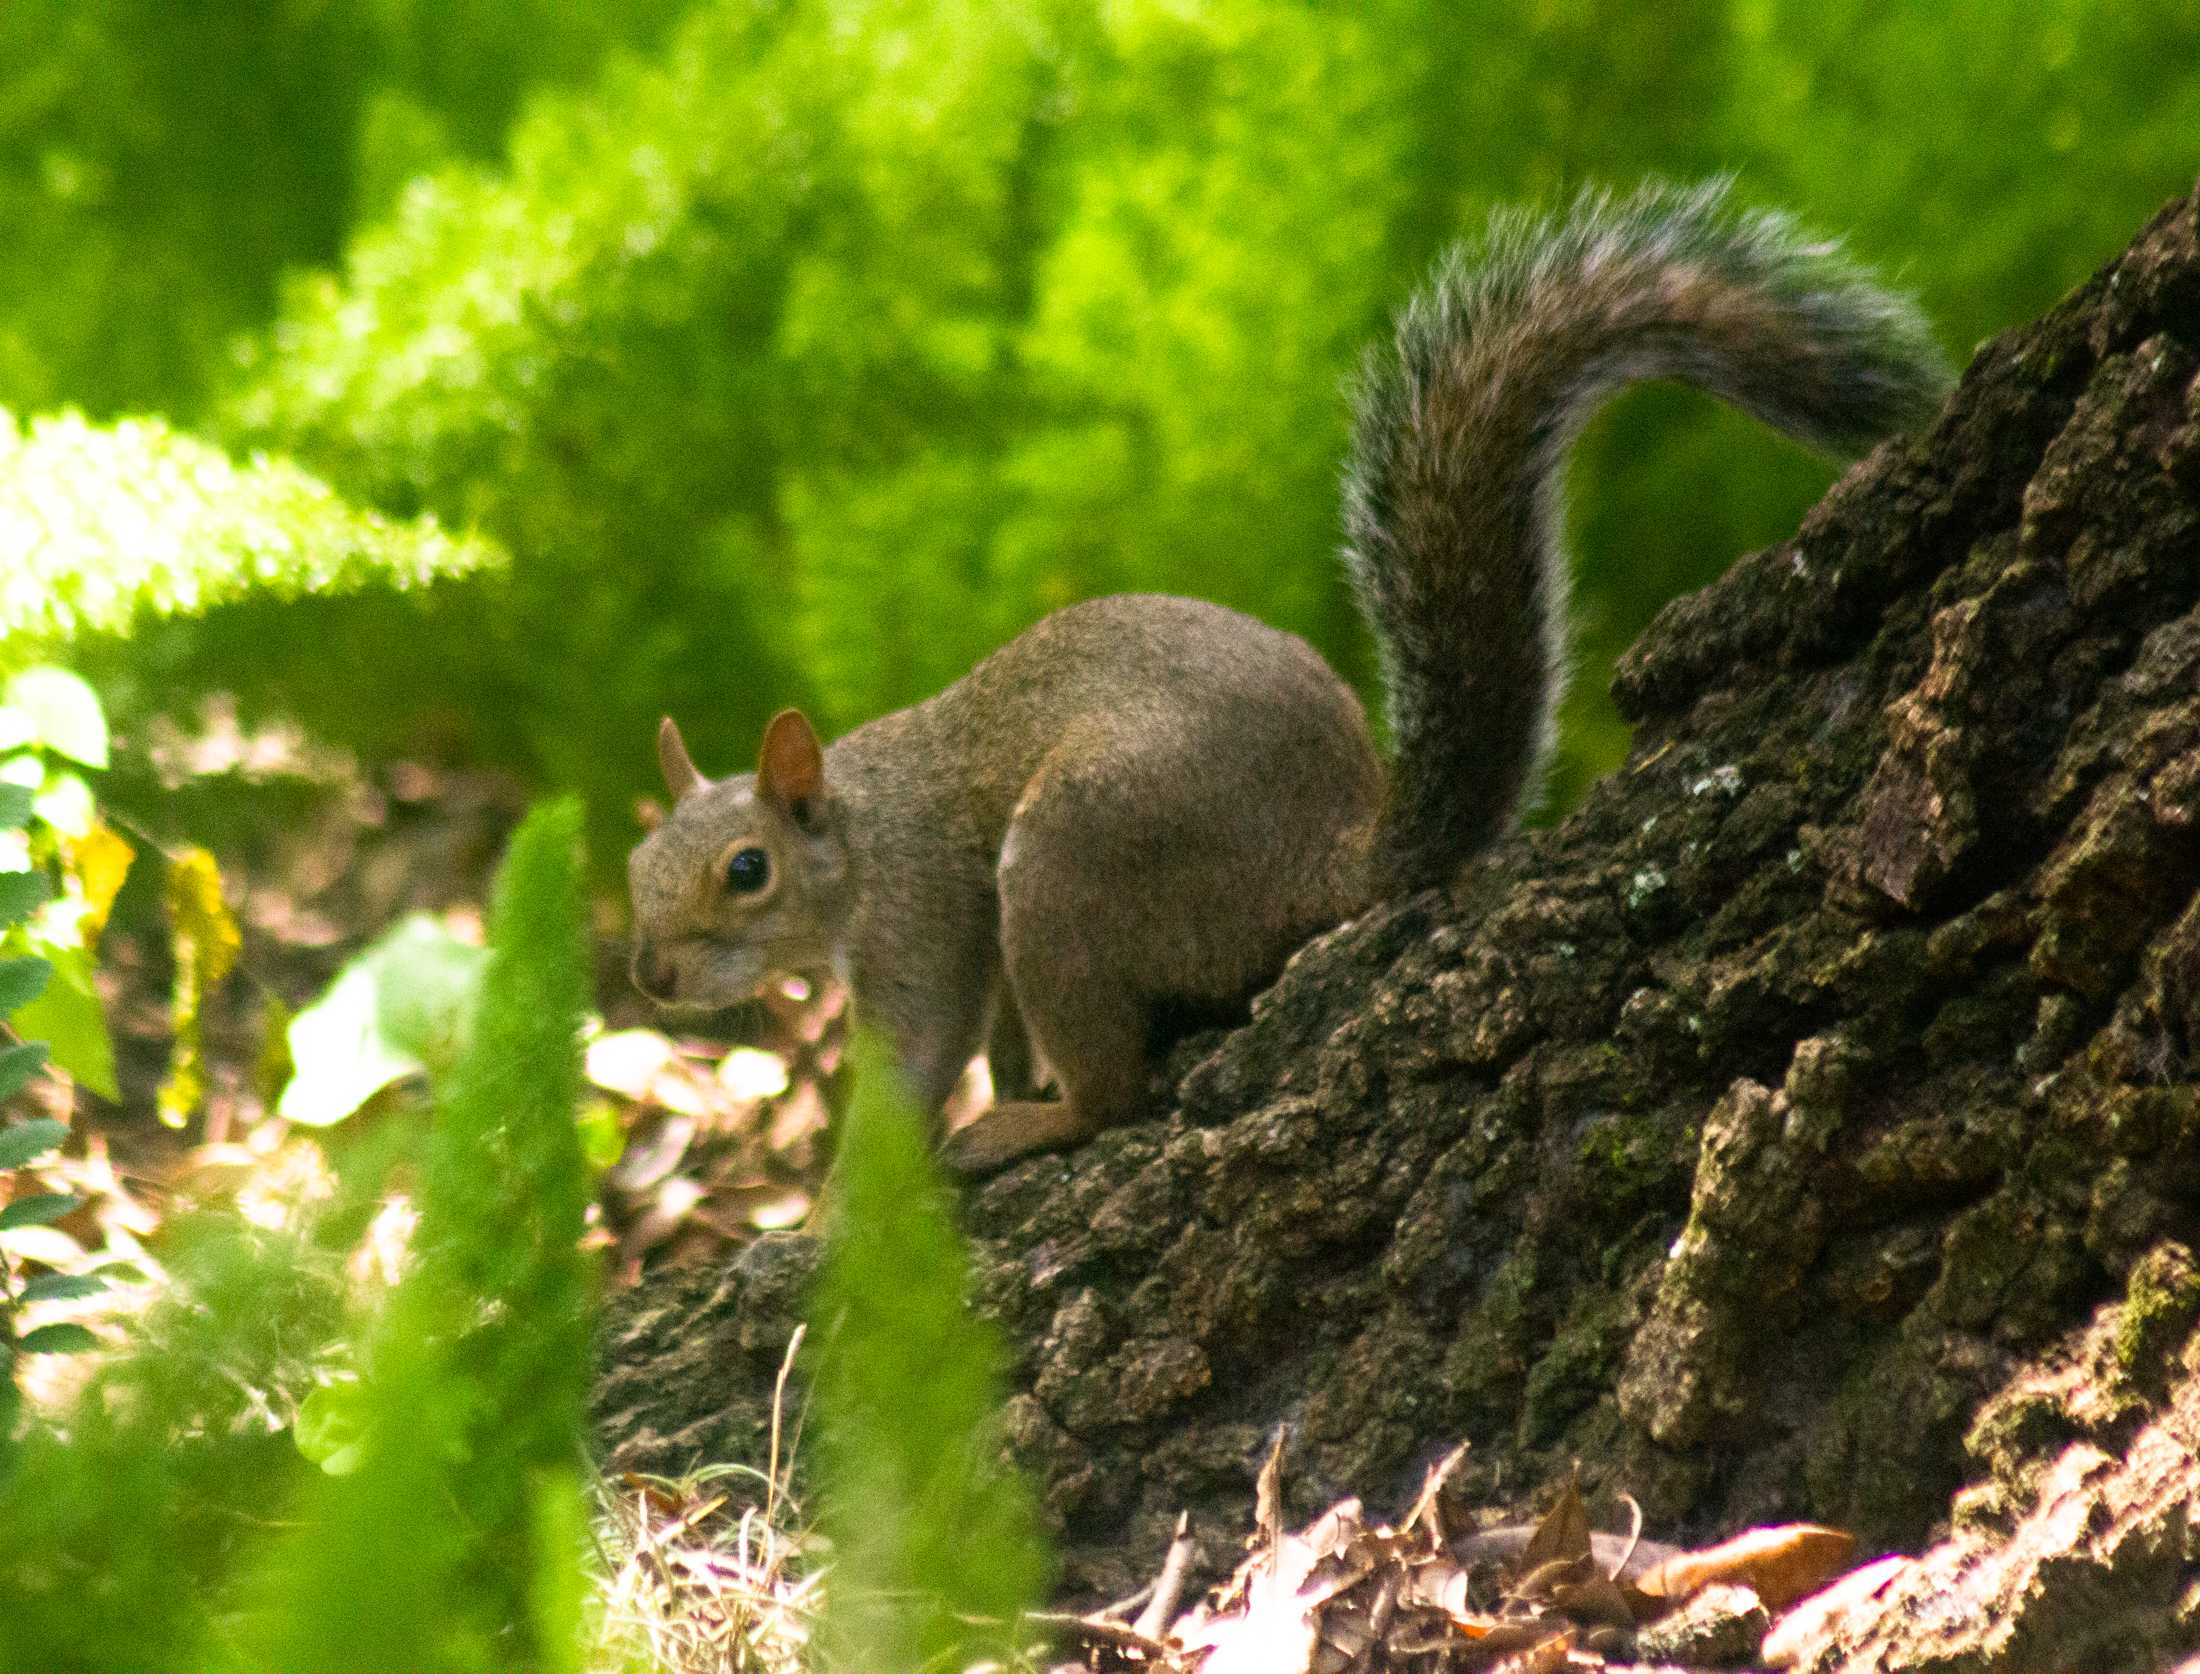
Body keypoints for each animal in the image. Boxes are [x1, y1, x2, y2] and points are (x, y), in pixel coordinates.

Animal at [624, 182, 1944, 1170]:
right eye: (639, 868)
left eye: (745, 872)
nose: (649, 972)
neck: (857, 827)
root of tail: (1329, 862)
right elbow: (994, 1037)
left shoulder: (925, 918)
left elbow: (916, 1062)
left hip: (1070, 860)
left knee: (1114, 1094)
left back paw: (1035, 1125)